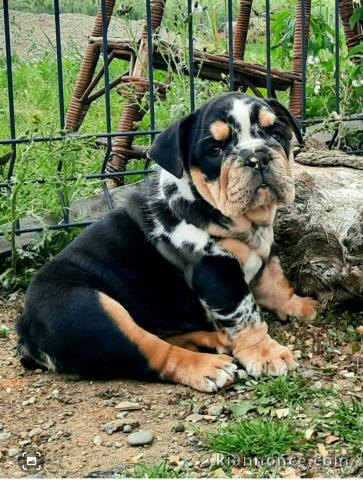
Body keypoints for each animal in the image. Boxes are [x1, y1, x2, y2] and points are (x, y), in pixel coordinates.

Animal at [17, 94, 318, 394]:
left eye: (276, 134)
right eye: (215, 151)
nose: (257, 157)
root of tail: (26, 328)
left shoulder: (265, 252)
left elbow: (275, 282)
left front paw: (299, 305)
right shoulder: (217, 272)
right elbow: (246, 314)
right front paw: (266, 353)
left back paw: (215, 340)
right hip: (90, 310)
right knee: (152, 352)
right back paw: (207, 366)